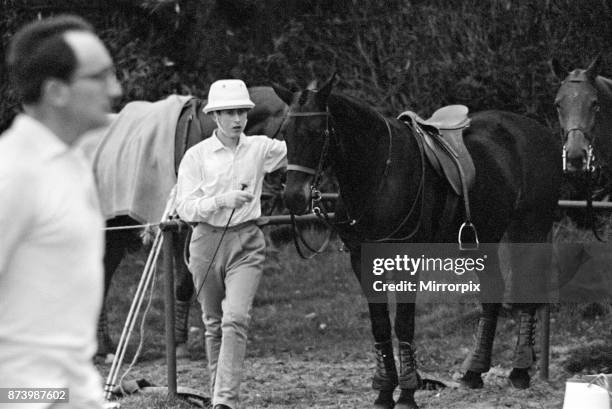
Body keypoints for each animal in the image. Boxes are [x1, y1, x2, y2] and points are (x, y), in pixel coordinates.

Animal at [274, 77, 560, 408]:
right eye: (285, 133)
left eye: (318, 131)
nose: (294, 197)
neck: (380, 175)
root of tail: (541, 133)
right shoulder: (361, 260)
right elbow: (380, 324)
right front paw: (384, 391)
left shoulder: (406, 260)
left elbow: (403, 324)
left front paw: (408, 392)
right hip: (484, 239)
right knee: (492, 294)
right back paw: (474, 372)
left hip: (529, 228)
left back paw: (520, 371)